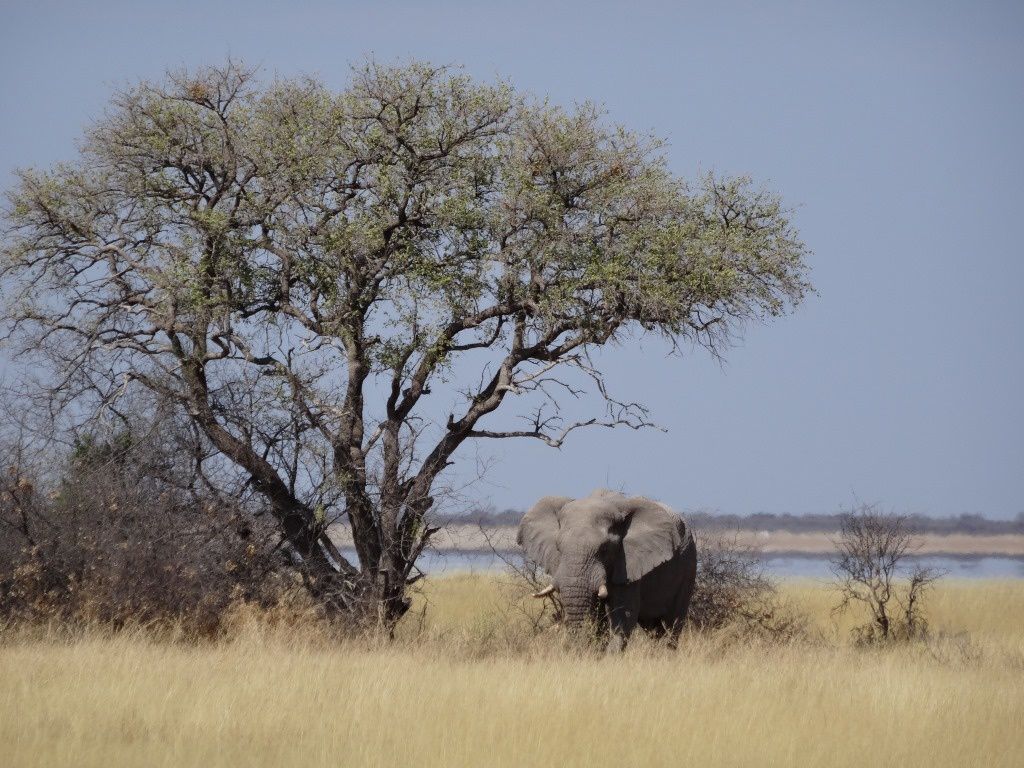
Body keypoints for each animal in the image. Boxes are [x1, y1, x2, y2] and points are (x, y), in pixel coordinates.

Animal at [520, 489, 696, 651]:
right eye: (558, 548)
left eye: (604, 549)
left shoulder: (627, 566)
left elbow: (623, 615)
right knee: (653, 628)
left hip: (688, 565)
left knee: (672, 623)